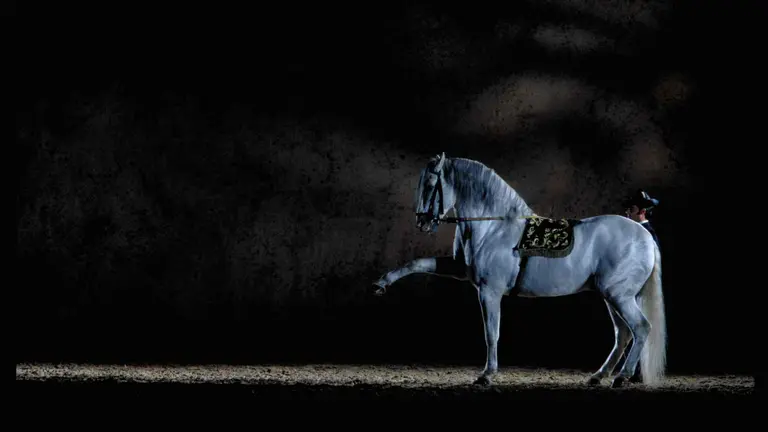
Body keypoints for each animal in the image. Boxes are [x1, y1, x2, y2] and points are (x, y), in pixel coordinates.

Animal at [372, 152, 666, 389]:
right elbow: (418, 263)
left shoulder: (489, 291)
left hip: (618, 295)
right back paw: (598, 376)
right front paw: (382, 283)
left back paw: (621, 377)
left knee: (640, 328)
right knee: (623, 334)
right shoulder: (460, 269)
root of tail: (644, 236)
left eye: (431, 185)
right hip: (612, 296)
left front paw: (486, 375)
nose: (422, 222)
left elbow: (492, 333)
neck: (494, 225)